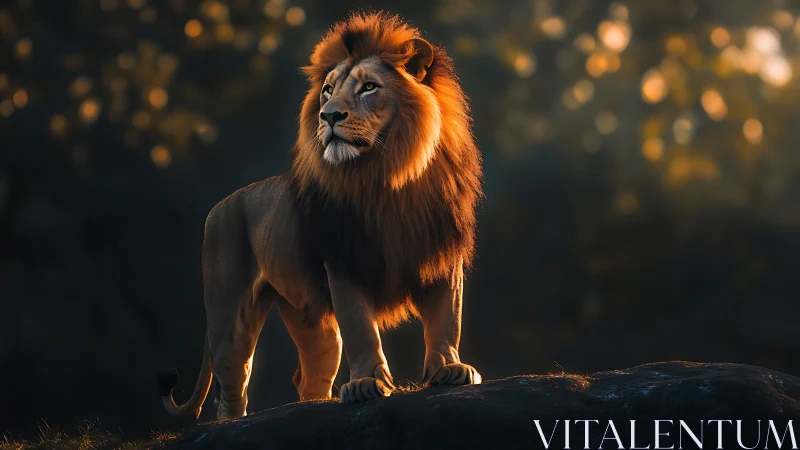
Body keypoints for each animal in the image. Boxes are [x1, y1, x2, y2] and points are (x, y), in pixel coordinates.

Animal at [158, 12, 483, 420]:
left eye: (369, 88)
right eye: (327, 91)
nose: (328, 116)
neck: (386, 177)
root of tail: (221, 205)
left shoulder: (441, 254)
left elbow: (446, 318)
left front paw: (449, 369)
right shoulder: (342, 261)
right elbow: (361, 327)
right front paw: (366, 383)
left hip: (309, 319)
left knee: (309, 377)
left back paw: (315, 404)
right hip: (230, 314)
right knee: (231, 386)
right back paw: (233, 422)